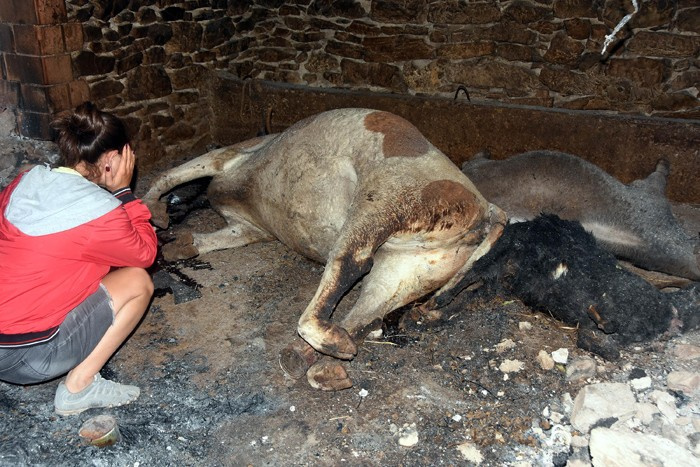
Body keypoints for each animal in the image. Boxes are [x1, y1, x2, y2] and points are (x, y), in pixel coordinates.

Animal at [144, 109, 504, 392]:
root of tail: (487, 210)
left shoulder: (225, 157)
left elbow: (168, 174)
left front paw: (153, 212)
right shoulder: (247, 228)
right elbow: (208, 239)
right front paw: (177, 244)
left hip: (381, 202)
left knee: (347, 267)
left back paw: (321, 348)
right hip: (409, 271)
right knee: (364, 313)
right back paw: (315, 364)